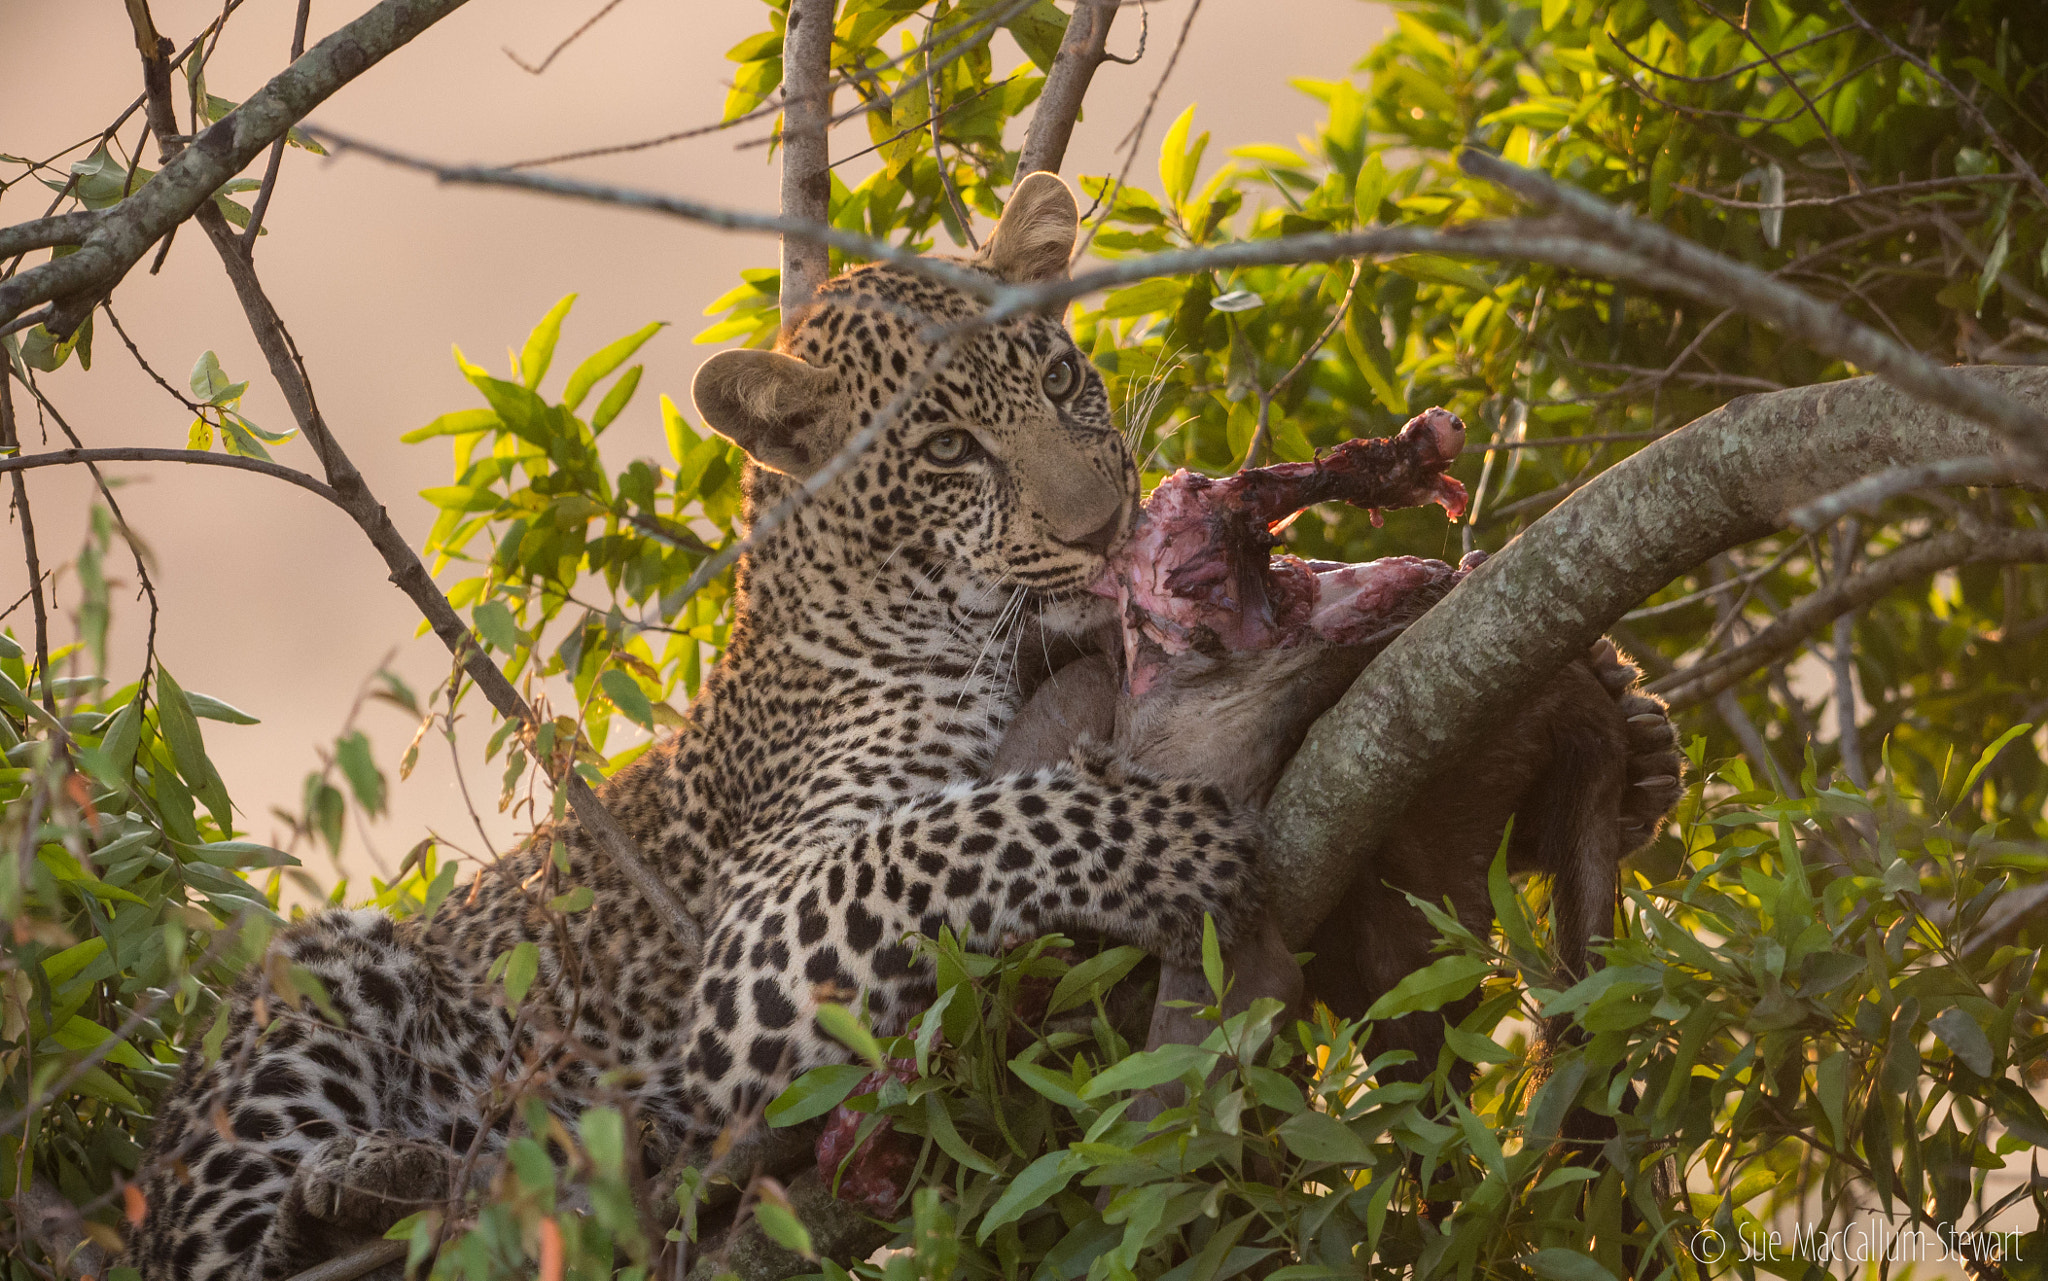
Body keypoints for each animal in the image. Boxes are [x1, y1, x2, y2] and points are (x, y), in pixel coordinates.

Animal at [123, 177, 1277, 1278]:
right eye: (950, 448)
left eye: (1058, 382)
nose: (1106, 528)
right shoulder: (750, 955)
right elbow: (952, 832)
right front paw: (1167, 840)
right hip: (317, 973)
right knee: (211, 1256)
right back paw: (357, 1188)